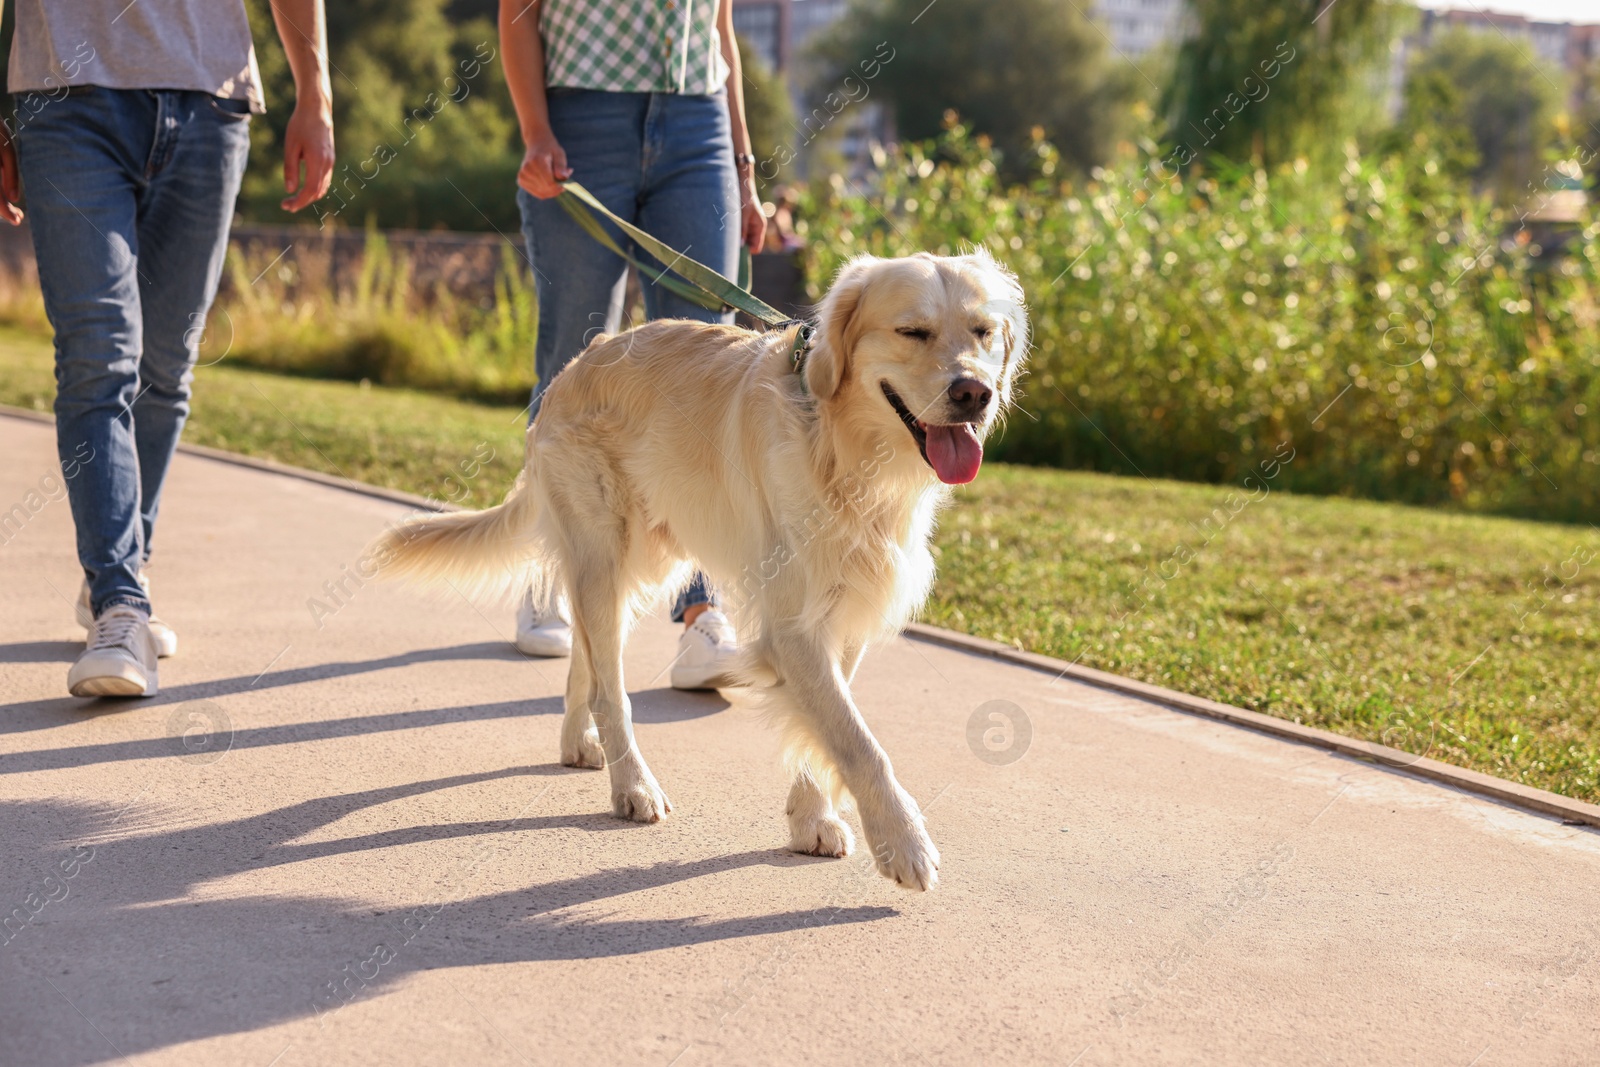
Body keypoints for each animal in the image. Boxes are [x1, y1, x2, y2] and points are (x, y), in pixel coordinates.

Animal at [368, 252, 1024, 895]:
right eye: (912, 331)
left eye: (983, 332)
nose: (974, 393)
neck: (844, 452)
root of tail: (575, 367)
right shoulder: (792, 626)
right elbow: (858, 741)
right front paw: (904, 842)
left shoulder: (843, 614)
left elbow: (826, 730)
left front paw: (811, 818)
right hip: (604, 554)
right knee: (610, 687)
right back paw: (632, 784)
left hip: (638, 565)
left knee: (586, 658)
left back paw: (579, 743)